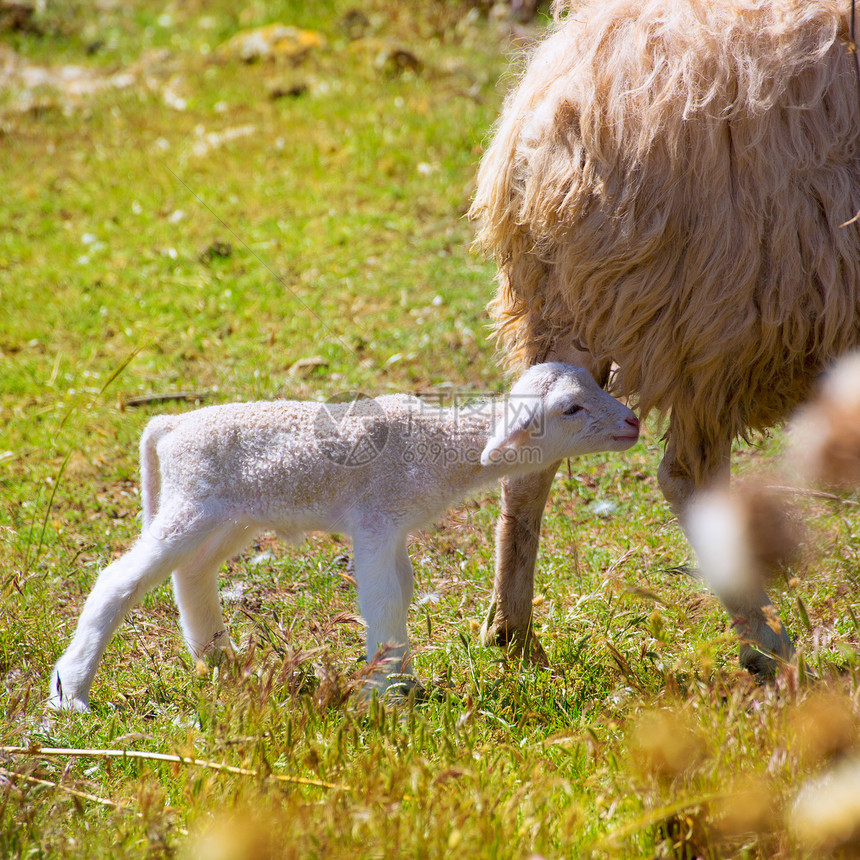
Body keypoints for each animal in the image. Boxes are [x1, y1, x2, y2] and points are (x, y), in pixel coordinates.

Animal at [48, 360, 640, 708]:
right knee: (118, 580)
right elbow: (383, 601)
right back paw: (71, 692)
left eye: (598, 384)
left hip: (228, 516)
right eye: (570, 408)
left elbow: (401, 591)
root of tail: (168, 426)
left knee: (192, 573)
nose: (633, 422)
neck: (440, 446)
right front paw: (389, 698)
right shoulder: (375, 521)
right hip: (192, 505)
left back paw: (220, 659)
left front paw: (400, 679)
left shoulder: (394, 529)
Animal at [470, 0, 860, 676]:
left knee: (527, 462)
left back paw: (512, 633)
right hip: (720, 316)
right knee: (687, 476)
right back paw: (765, 640)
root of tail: (557, 107)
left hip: (571, 304)